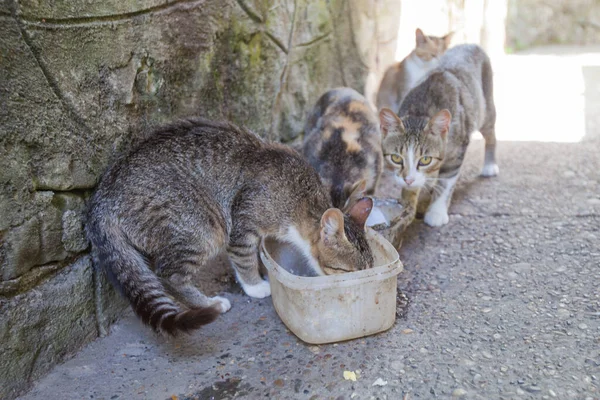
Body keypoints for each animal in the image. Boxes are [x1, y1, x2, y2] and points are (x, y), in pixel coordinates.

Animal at [86, 118, 372, 334]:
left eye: (368, 268)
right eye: (349, 271)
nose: (360, 284)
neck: (301, 199)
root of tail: (102, 199)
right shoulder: (242, 225)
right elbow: (244, 259)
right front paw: (255, 286)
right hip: (203, 226)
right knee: (169, 274)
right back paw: (209, 303)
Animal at [380, 43, 496, 244]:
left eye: (425, 159)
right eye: (396, 158)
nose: (408, 179)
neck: (421, 110)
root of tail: (472, 44)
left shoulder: (457, 150)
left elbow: (447, 180)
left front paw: (436, 211)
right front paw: (407, 205)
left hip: (486, 109)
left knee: (490, 135)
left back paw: (490, 165)